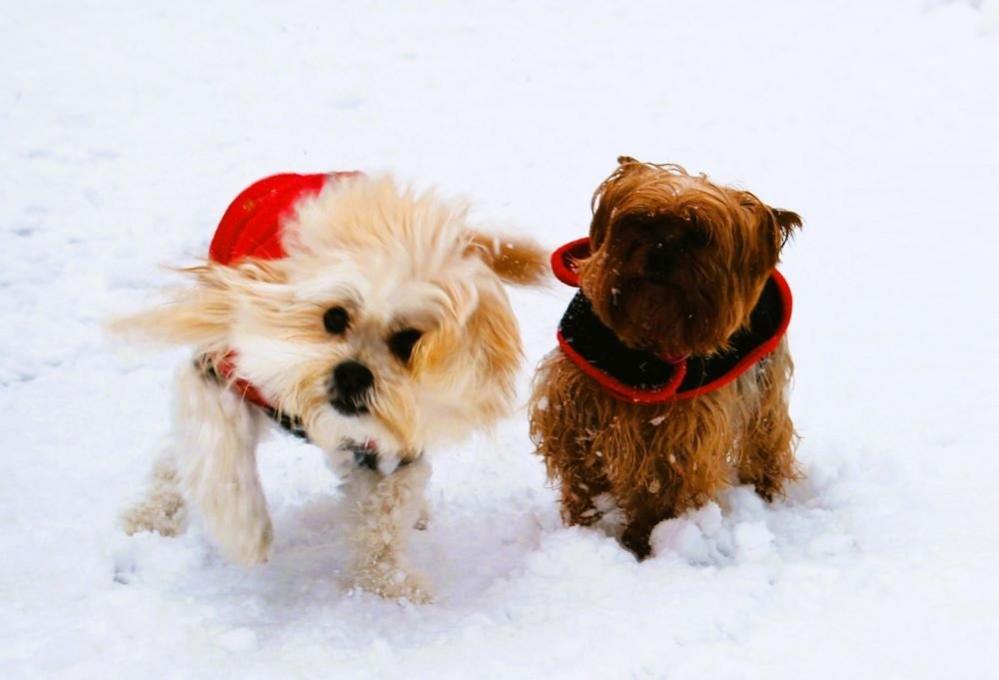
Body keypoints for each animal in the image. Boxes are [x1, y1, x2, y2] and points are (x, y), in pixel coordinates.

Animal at [117, 173, 548, 604]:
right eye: (334, 317)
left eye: (407, 341)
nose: (353, 374)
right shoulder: (219, 373)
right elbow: (220, 458)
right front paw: (247, 535)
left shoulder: (394, 445)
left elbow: (381, 520)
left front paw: (387, 583)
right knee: (178, 457)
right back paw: (154, 513)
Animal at [532, 159, 804, 556]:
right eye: (641, 222)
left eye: (700, 236)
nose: (661, 251)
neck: (645, 348)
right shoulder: (576, 408)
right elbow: (582, 475)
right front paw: (584, 527)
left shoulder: (681, 436)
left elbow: (659, 491)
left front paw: (642, 544)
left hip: (765, 383)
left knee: (767, 435)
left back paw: (764, 491)